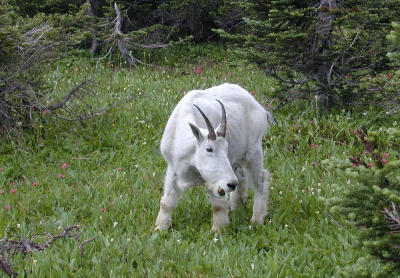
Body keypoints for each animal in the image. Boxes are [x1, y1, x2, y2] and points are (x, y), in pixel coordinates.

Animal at [155, 83, 274, 231]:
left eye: (226, 149)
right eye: (209, 149)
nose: (231, 184)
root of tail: (259, 108)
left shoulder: (215, 181)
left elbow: (217, 205)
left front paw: (218, 229)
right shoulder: (173, 168)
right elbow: (166, 201)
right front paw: (160, 228)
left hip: (254, 150)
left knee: (261, 180)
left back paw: (257, 219)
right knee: (241, 177)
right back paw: (235, 207)